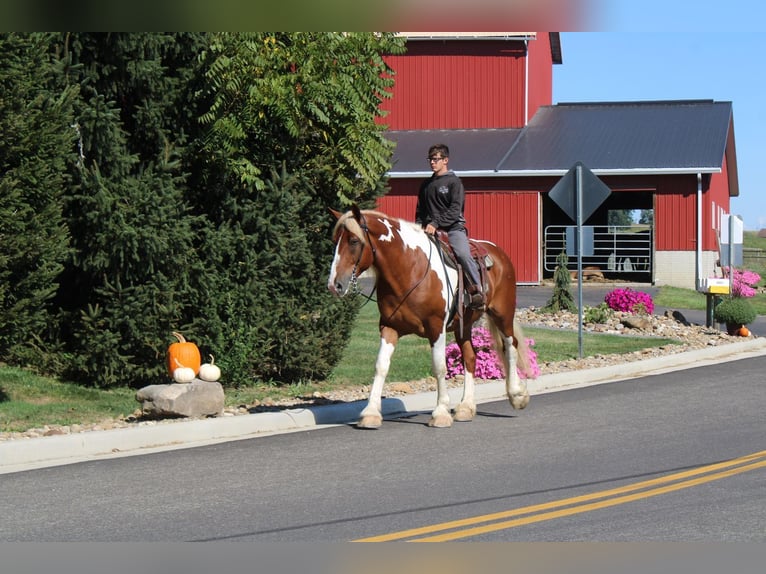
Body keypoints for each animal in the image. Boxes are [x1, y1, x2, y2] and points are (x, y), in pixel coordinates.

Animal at [327, 205, 532, 429]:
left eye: (354, 241)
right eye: (335, 240)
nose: (334, 285)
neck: (409, 269)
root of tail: (498, 252)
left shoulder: (436, 328)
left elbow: (439, 367)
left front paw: (441, 413)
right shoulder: (389, 327)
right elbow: (381, 365)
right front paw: (370, 413)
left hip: (502, 314)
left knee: (511, 346)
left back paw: (517, 395)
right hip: (464, 325)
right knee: (470, 357)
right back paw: (466, 407)